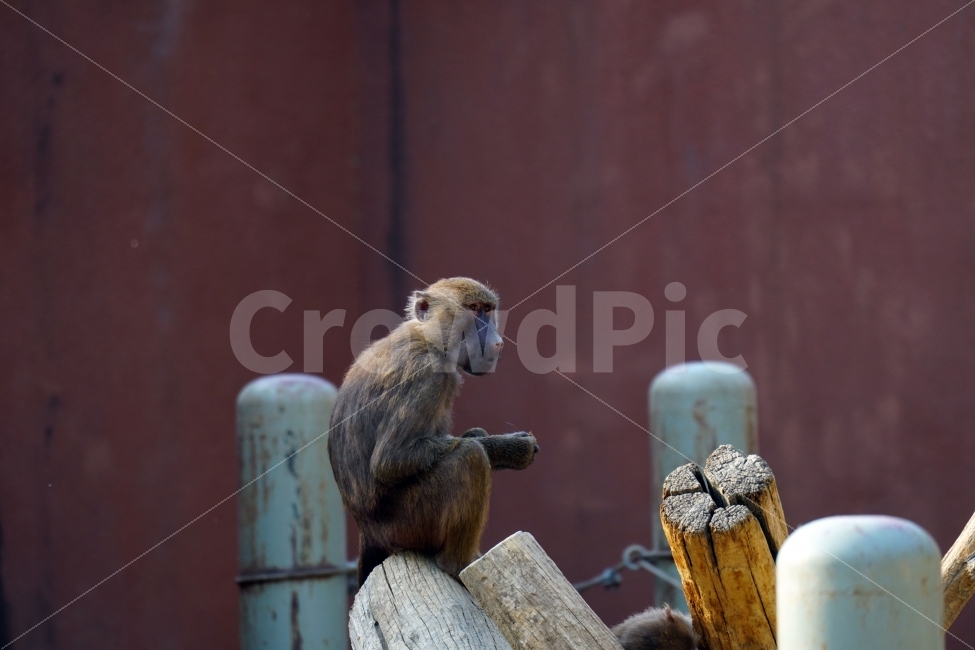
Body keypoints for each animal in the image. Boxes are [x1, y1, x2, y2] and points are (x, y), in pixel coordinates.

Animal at [327, 277, 539, 586]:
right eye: (473, 309)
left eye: (488, 310)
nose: (497, 342)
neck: (427, 339)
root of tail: (367, 530)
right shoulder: (429, 377)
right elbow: (391, 461)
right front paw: (511, 448)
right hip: (408, 524)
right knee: (469, 458)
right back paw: (458, 565)